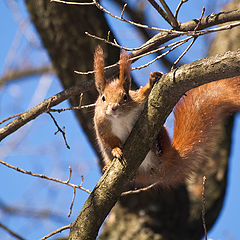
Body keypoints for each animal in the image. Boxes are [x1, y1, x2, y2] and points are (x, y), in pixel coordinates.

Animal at [93, 45, 240, 188]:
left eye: (125, 96)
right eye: (103, 98)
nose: (114, 107)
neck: (119, 117)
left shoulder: (138, 100)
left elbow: (143, 93)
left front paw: (152, 81)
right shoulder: (101, 126)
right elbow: (109, 141)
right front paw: (116, 150)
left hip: (161, 131)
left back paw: (156, 146)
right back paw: (108, 166)